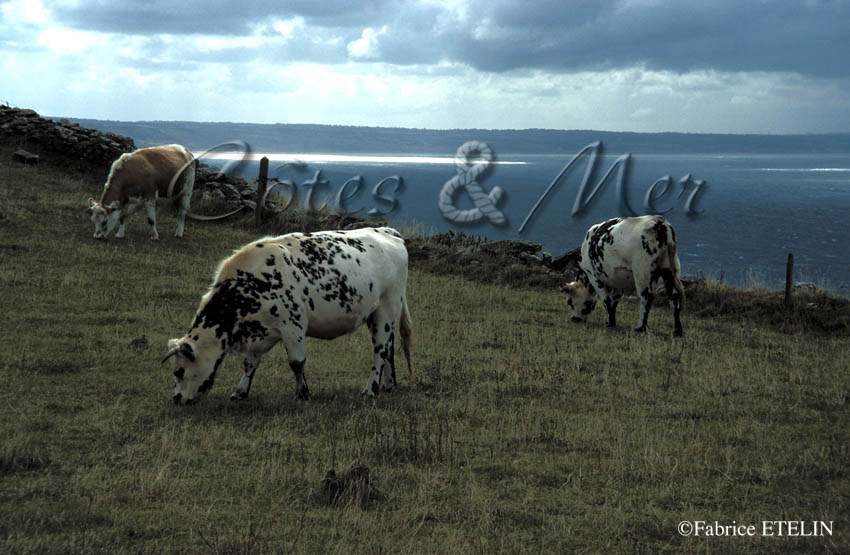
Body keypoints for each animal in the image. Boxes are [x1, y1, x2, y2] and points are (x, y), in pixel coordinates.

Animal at [163, 228, 414, 406]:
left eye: (179, 371)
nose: (176, 399)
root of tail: (387, 231)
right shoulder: (259, 332)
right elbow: (250, 363)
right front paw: (240, 392)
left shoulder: (293, 325)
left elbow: (296, 362)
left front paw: (303, 393)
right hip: (377, 315)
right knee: (388, 348)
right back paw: (388, 385)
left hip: (387, 308)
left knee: (379, 351)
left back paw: (370, 389)